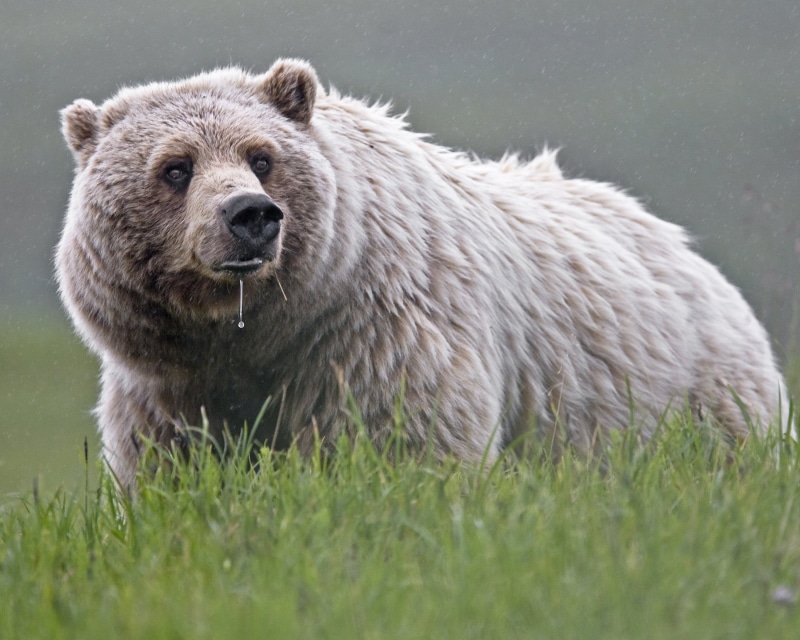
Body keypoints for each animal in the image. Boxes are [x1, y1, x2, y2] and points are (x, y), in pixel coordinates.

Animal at [57, 58, 790, 489]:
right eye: (175, 167)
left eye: (261, 157)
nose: (250, 215)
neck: (259, 331)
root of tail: (687, 249)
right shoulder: (171, 387)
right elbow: (175, 470)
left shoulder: (372, 335)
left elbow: (405, 444)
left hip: (692, 399)